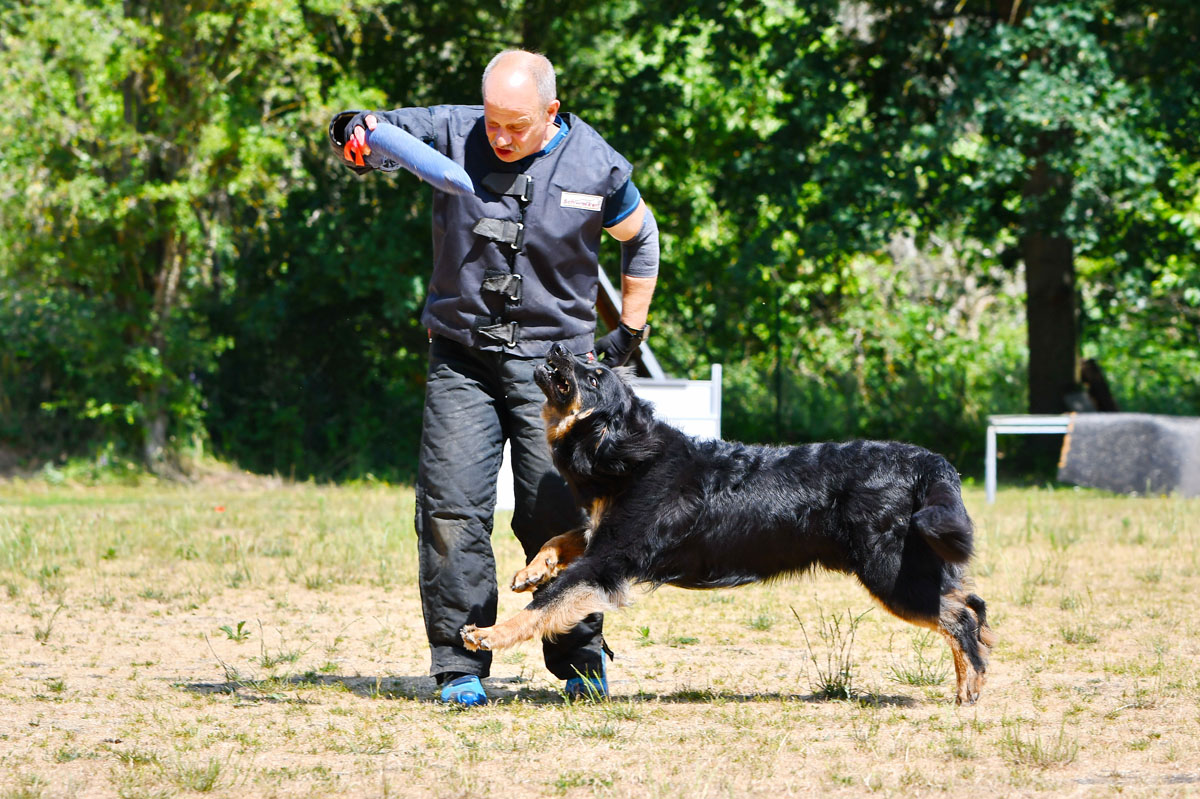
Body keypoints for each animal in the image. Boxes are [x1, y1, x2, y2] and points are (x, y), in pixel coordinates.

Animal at [458, 338, 993, 700]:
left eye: (591, 376)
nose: (555, 346)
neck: (631, 454)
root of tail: (927, 462)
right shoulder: (600, 536)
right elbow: (558, 539)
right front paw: (531, 571)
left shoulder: (609, 559)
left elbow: (546, 606)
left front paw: (488, 633)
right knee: (971, 600)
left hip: (888, 572)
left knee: (959, 614)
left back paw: (970, 686)